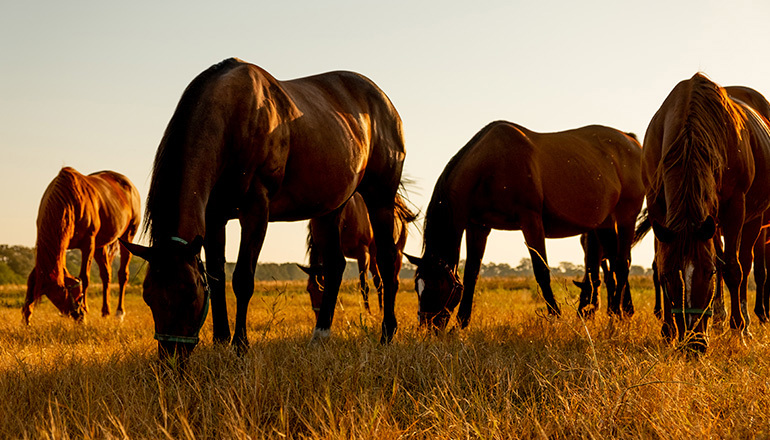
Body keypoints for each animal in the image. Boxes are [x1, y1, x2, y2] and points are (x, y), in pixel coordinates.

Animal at [21, 167, 140, 324]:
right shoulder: (60, 246)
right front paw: (26, 317)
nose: (79, 316)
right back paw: (105, 312)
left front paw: (86, 309)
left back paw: (119, 313)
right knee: (106, 275)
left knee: (123, 275)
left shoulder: (88, 243)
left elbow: (85, 277)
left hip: (128, 236)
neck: (70, 200)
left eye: (78, 295)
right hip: (100, 246)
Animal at [123, 58, 404, 360]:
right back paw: (319, 336)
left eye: (189, 293)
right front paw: (220, 340)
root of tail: (385, 102)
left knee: (386, 263)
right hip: (329, 210)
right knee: (335, 265)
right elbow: (217, 277)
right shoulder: (215, 217)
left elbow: (242, 279)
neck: (233, 117)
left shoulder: (255, 211)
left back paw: (387, 334)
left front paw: (240, 345)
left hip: (380, 199)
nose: (171, 360)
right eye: (149, 296)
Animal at [404, 120, 644, 330]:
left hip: (626, 215)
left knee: (622, 263)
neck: (490, 164)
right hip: (605, 222)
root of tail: (631, 141)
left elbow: (541, 270)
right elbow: (472, 273)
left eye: (437, 286)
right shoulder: (478, 226)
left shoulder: (530, 220)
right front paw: (462, 323)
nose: (429, 327)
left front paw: (555, 316)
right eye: (417, 286)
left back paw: (617, 314)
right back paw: (619, 312)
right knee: (612, 264)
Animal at [640, 75, 770, 350]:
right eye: (671, 275)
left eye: (707, 273)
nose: (694, 343)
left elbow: (732, 269)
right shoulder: (657, 206)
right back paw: (719, 318)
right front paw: (668, 330)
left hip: (752, 220)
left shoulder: (735, 207)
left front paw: (738, 329)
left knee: (745, 263)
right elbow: (662, 260)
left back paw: (743, 324)